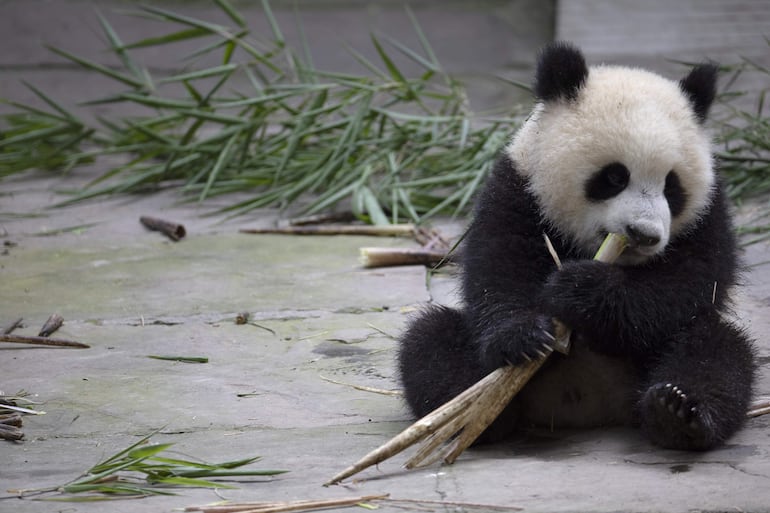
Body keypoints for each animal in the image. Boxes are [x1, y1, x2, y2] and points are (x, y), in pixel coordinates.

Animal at [400, 41, 752, 448]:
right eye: (614, 177)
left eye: (672, 186)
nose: (644, 234)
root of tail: (590, 406)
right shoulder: (519, 187)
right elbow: (499, 267)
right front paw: (523, 336)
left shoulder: (708, 213)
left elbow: (691, 283)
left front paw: (580, 289)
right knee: (429, 342)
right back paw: (478, 414)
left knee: (716, 351)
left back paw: (675, 411)